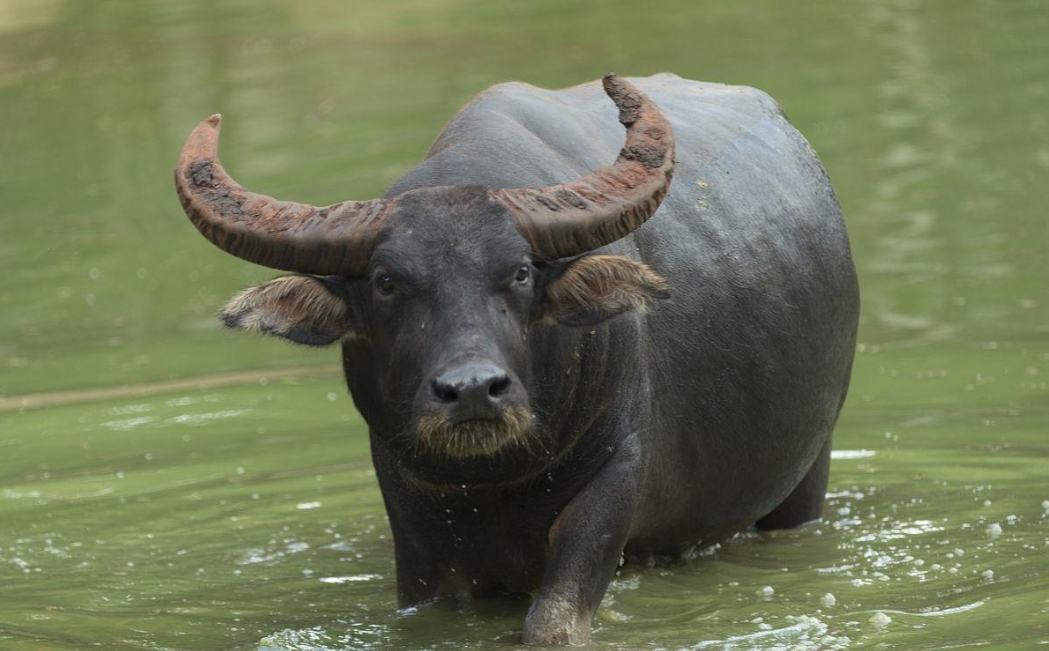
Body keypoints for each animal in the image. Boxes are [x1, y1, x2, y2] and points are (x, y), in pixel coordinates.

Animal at [174, 73, 860, 641]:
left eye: (522, 272)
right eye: (386, 282)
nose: (474, 390)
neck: (493, 482)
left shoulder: (614, 482)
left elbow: (553, 623)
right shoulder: (415, 530)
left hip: (808, 472)